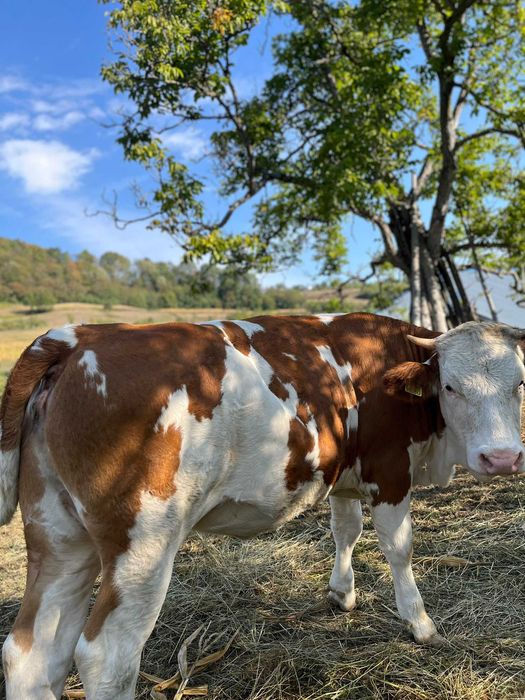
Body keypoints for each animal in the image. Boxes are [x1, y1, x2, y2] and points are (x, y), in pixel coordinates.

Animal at [1, 313, 524, 700]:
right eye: (451, 386)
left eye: (519, 384)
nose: (502, 458)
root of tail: (78, 335)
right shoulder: (389, 471)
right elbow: (399, 548)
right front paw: (419, 623)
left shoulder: (343, 473)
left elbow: (346, 530)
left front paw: (341, 594)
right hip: (142, 543)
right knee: (106, 657)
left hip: (58, 537)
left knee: (32, 653)